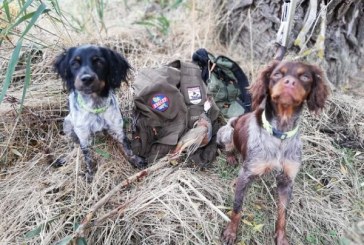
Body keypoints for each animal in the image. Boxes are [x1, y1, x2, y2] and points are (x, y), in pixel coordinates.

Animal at [53, 45, 146, 180]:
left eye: (99, 62)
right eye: (74, 63)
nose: (86, 79)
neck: (95, 106)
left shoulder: (117, 128)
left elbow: (127, 148)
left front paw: (136, 161)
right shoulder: (83, 135)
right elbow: (88, 157)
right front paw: (90, 174)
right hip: (67, 124)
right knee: (75, 145)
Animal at [222, 60, 330, 245]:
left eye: (305, 77)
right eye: (277, 74)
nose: (290, 82)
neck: (280, 134)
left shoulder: (287, 180)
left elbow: (283, 214)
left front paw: (281, 238)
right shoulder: (246, 173)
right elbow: (237, 207)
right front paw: (231, 233)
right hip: (227, 131)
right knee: (229, 146)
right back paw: (230, 158)